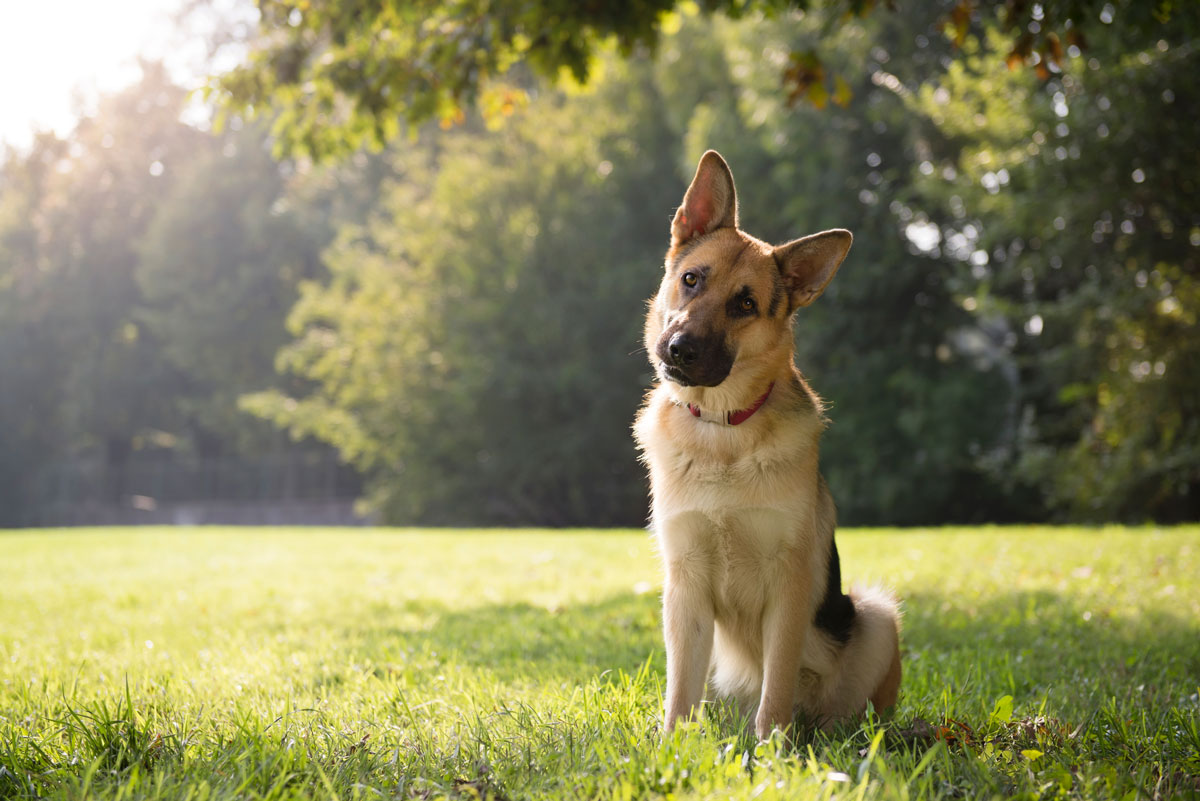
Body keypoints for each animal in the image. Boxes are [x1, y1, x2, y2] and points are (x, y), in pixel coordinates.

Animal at [638, 148, 902, 738]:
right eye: (691, 279)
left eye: (745, 305)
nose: (680, 349)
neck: (723, 431)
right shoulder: (684, 587)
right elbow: (679, 692)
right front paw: (670, 746)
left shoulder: (790, 584)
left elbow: (776, 685)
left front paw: (773, 749)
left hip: (875, 615)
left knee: (850, 710)